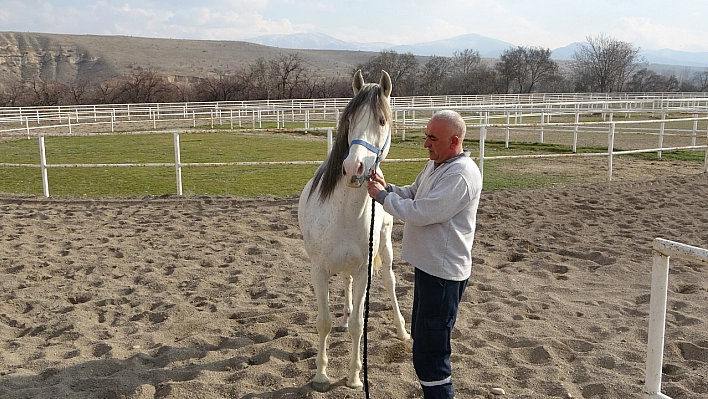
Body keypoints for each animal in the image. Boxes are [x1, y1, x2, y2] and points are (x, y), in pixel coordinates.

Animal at [298, 70, 410, 392]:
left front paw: (354, 377)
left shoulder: (364, 272)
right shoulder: (319, 270)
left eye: (382, 121)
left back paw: (402, 330)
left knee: (390, 282)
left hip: (385, 248)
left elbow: (359, 324)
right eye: (349, 119)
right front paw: (321, 376)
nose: (353, 168)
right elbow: (323, 322)